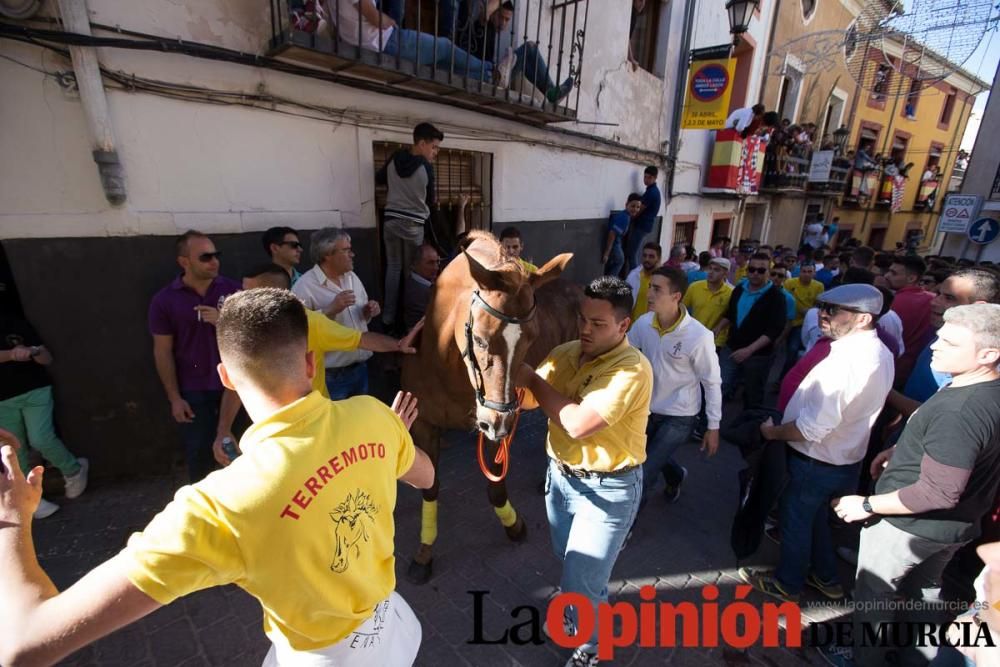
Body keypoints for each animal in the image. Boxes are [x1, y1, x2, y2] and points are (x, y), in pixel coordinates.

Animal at [402, 231, 584, 584]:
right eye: (481, 339)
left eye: (532, 339)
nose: (498, 419)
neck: (446, 365)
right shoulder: (425, 425)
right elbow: (430, 488)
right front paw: (424, 553)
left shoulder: (494, 429)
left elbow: (496, 489)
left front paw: (514, 526)